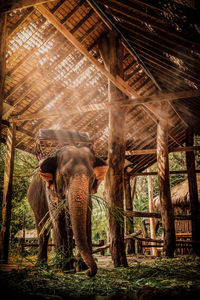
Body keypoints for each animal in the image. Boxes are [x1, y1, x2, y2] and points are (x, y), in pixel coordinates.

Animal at [28, 145, 108, 276]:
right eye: (65, 175)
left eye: (92, 177)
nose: (89, 272)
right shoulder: (51, 192)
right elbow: (58, 220)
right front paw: (65, 268)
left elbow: (87, 220)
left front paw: (81, 267)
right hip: (35, 202)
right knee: (43, 230)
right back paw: (42, 265)